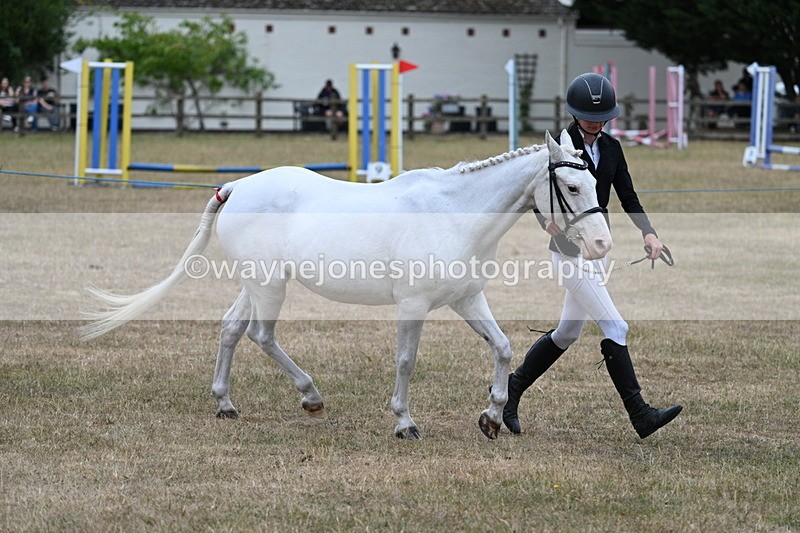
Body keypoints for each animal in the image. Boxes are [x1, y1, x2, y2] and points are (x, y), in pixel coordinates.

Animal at [79, 130, 612, 440]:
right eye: (571, 187)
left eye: (593, 181)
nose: (602, 244)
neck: (454, 213)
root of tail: (237, 187)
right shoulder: (413, 305)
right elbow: (406, 360)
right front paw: (404, 422)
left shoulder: (466, 298)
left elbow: (502, 347)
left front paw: (493, 417)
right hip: (270, 287)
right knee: (261, 335)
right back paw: (310, 396)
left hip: (256, 284)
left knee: (231, 329)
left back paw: (226, 404)